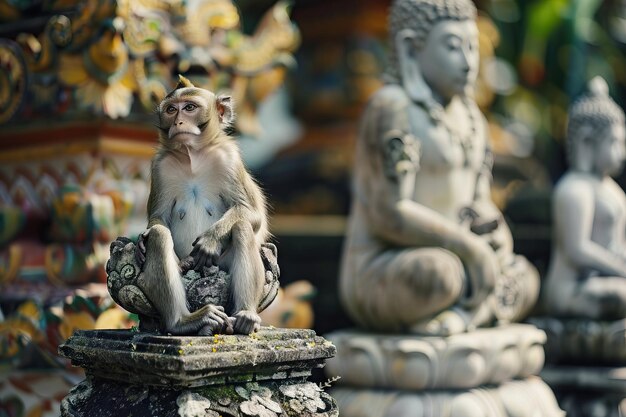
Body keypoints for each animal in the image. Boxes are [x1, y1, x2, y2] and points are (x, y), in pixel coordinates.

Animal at [136, 75, 268, 334]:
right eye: (171, 110)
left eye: (189, 107)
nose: (178, 121)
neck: (192, 156)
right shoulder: (160, 166)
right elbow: (158, 219)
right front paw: (142, 240)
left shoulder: (229, 159)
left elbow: (252, 213)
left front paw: (210, 239)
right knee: (160, 236)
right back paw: (184, 321)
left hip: (221, 263)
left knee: (242, 228)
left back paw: (246, 315)